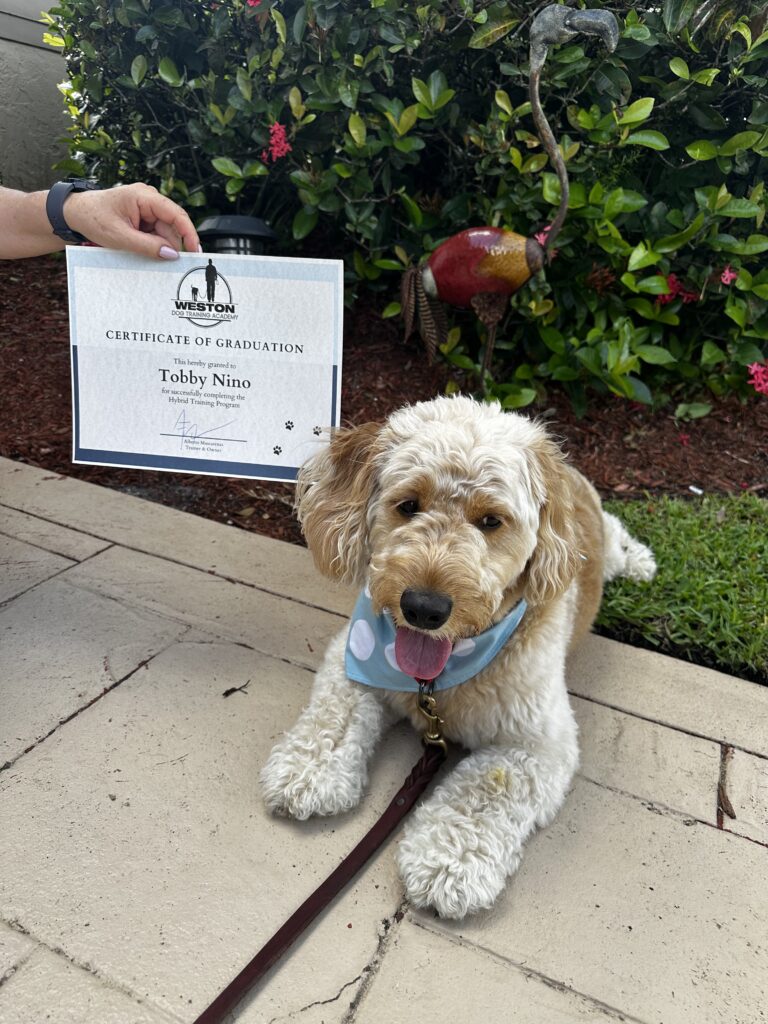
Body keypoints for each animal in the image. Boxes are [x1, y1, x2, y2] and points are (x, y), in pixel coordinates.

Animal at [262, 393, 659, 921]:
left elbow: (485, 788)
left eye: (491, 520)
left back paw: (639, 562)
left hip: (604, 538)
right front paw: (308, 772)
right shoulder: (351, 662)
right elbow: (334, 717)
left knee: (617, 535)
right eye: (408, 505)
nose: (424, 608)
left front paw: (449, 862)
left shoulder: (539, 743)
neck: (438, 682)